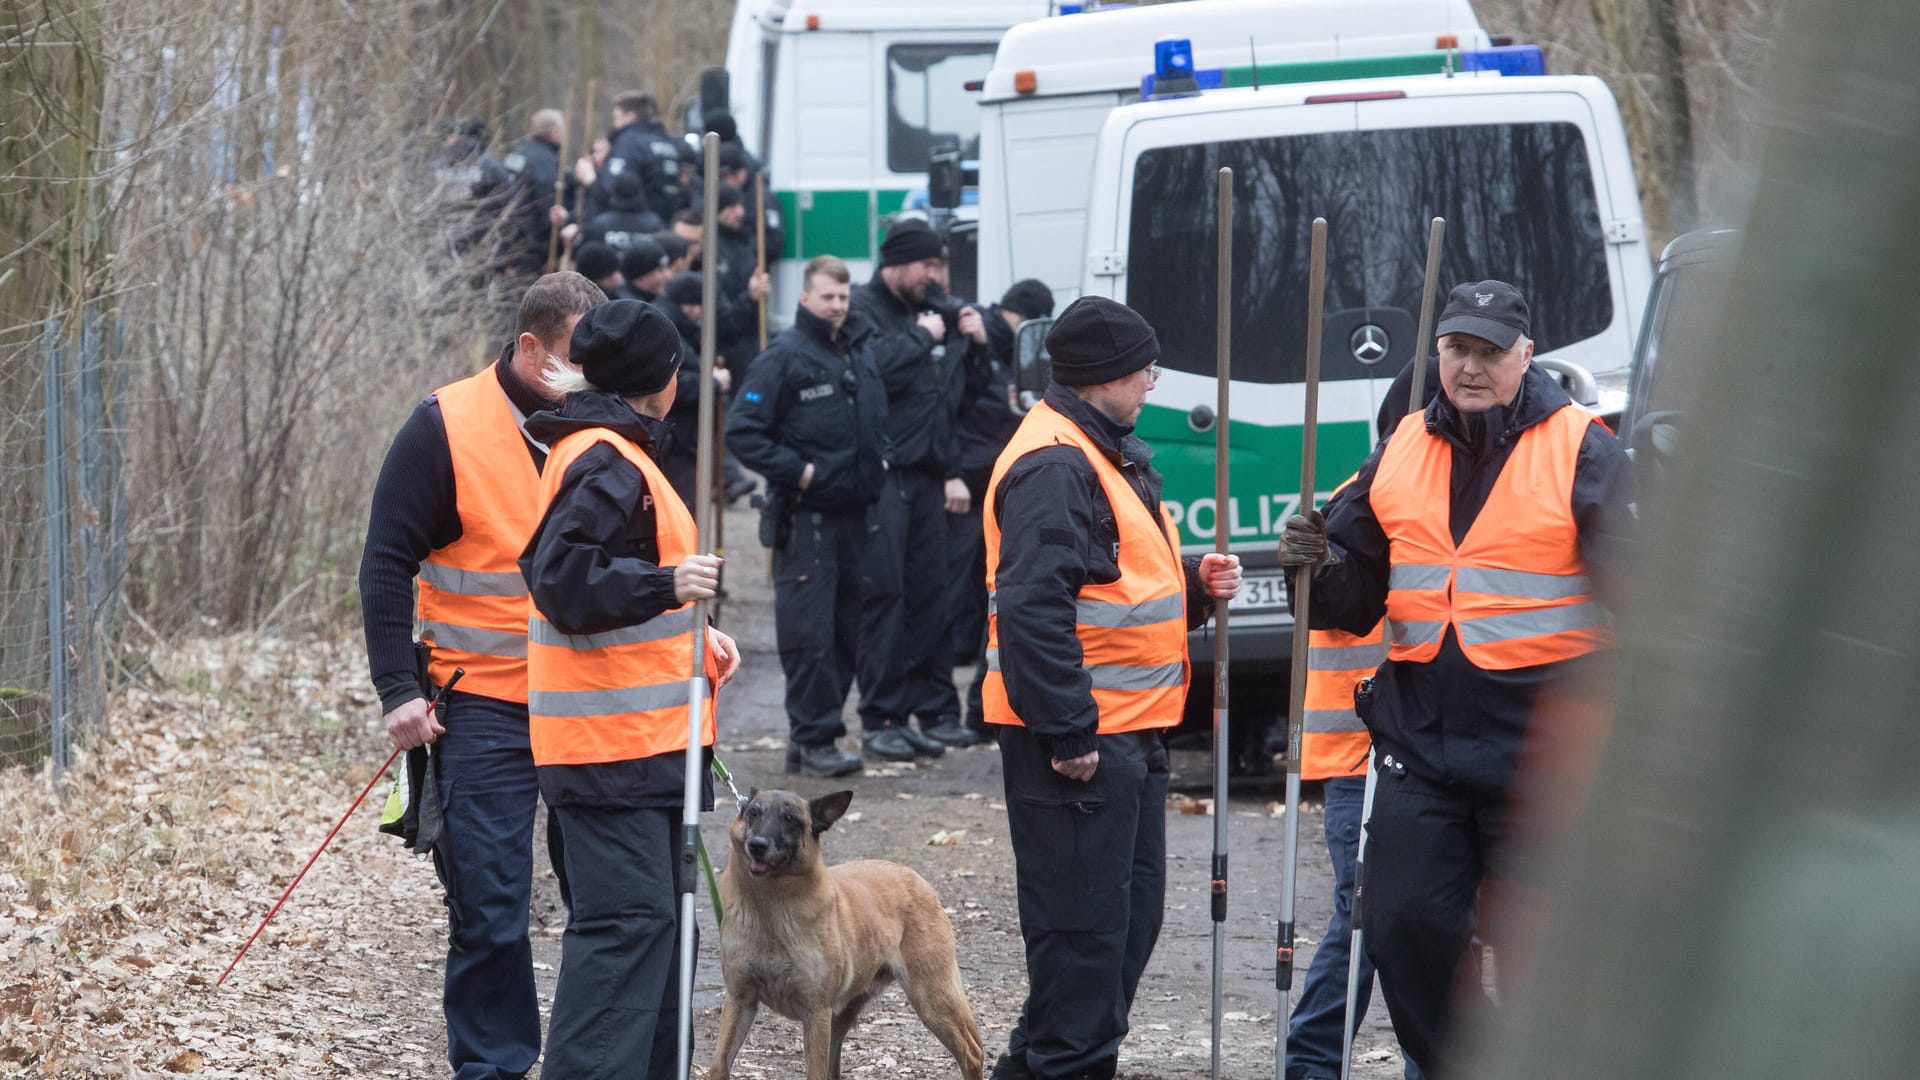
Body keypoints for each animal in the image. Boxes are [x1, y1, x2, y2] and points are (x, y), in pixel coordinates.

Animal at [714, 780, 990, 1076]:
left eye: (790, 818)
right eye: (754, 813)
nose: (756, 845)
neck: (769, 911)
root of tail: (917, 878)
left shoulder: (816, 1013)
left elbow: (814, 1073)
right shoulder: (740, 1000)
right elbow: (719, 1065)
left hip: (930, 998)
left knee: (972, 1053)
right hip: (843, 1018)